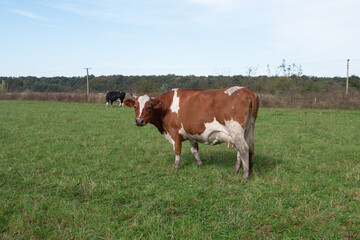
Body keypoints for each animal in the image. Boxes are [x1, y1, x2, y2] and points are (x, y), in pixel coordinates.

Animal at [124, 87, 258, 183]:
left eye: (149, 107)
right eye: (135, 106)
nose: (139, 121)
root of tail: (246, 90)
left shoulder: (175, 133)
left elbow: (177, 150)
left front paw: (176, 167)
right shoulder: (191, 134)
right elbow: (194, 150)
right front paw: (199, 164)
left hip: (236, 131)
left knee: (244, 150)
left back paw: (245, 177)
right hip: (244, 133)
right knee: (241, 151)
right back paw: (236, 171)